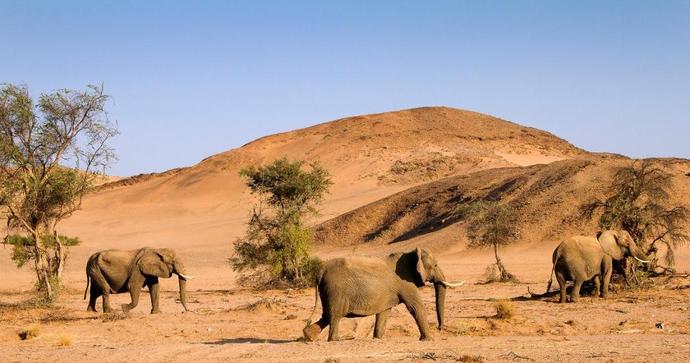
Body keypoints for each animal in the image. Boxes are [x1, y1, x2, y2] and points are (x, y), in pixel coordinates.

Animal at [300, 247, 462, 342]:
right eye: (435, 265)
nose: (440, 328)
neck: (410, 254)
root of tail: (320, 271)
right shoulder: (406, 282)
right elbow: (416, 307)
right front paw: (428, 339)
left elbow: (384, 312)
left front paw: (377, 338)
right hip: (336, 290)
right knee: (334, 315)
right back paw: (334, 340)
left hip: (328, 290)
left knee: (327, 315)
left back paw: (308, 336)